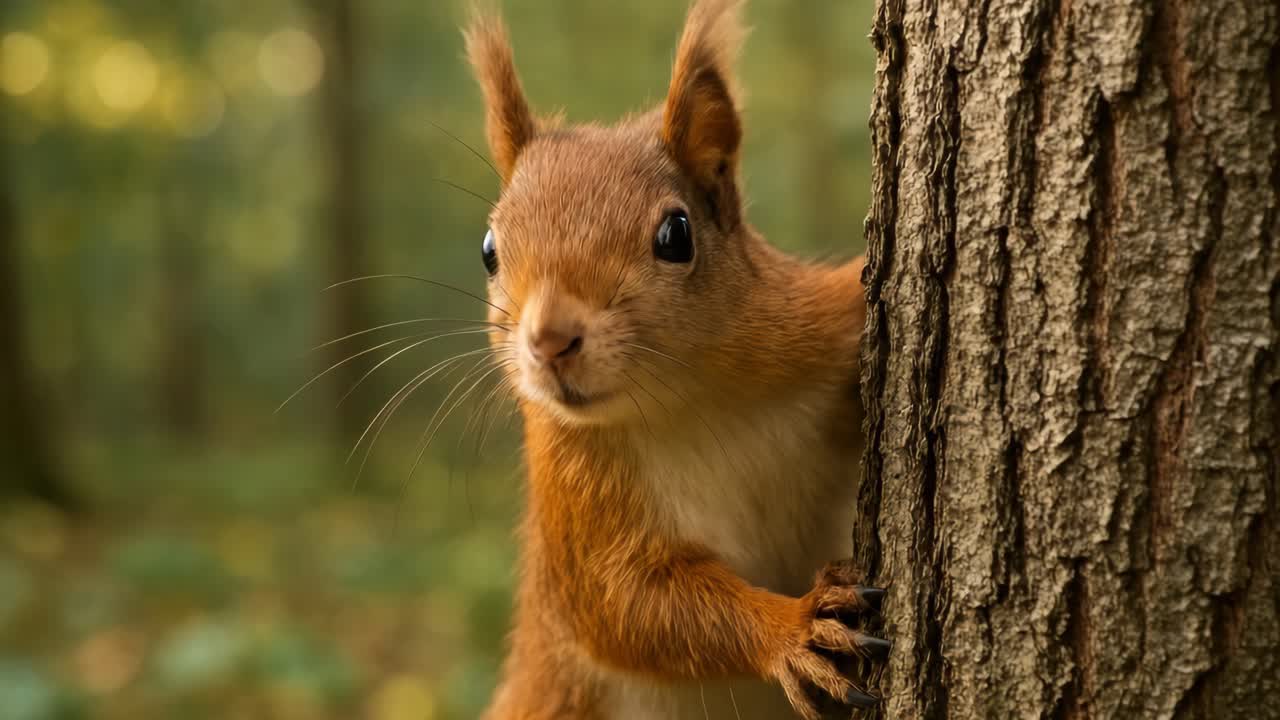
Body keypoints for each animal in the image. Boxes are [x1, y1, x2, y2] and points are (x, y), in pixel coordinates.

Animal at [463, 1, 887, 717]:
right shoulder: (571, 491)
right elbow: (628, 605)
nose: (550, 340)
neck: (690, 399)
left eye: (676, 234)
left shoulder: (817, 323)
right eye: (490, 249)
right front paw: (794, 628)